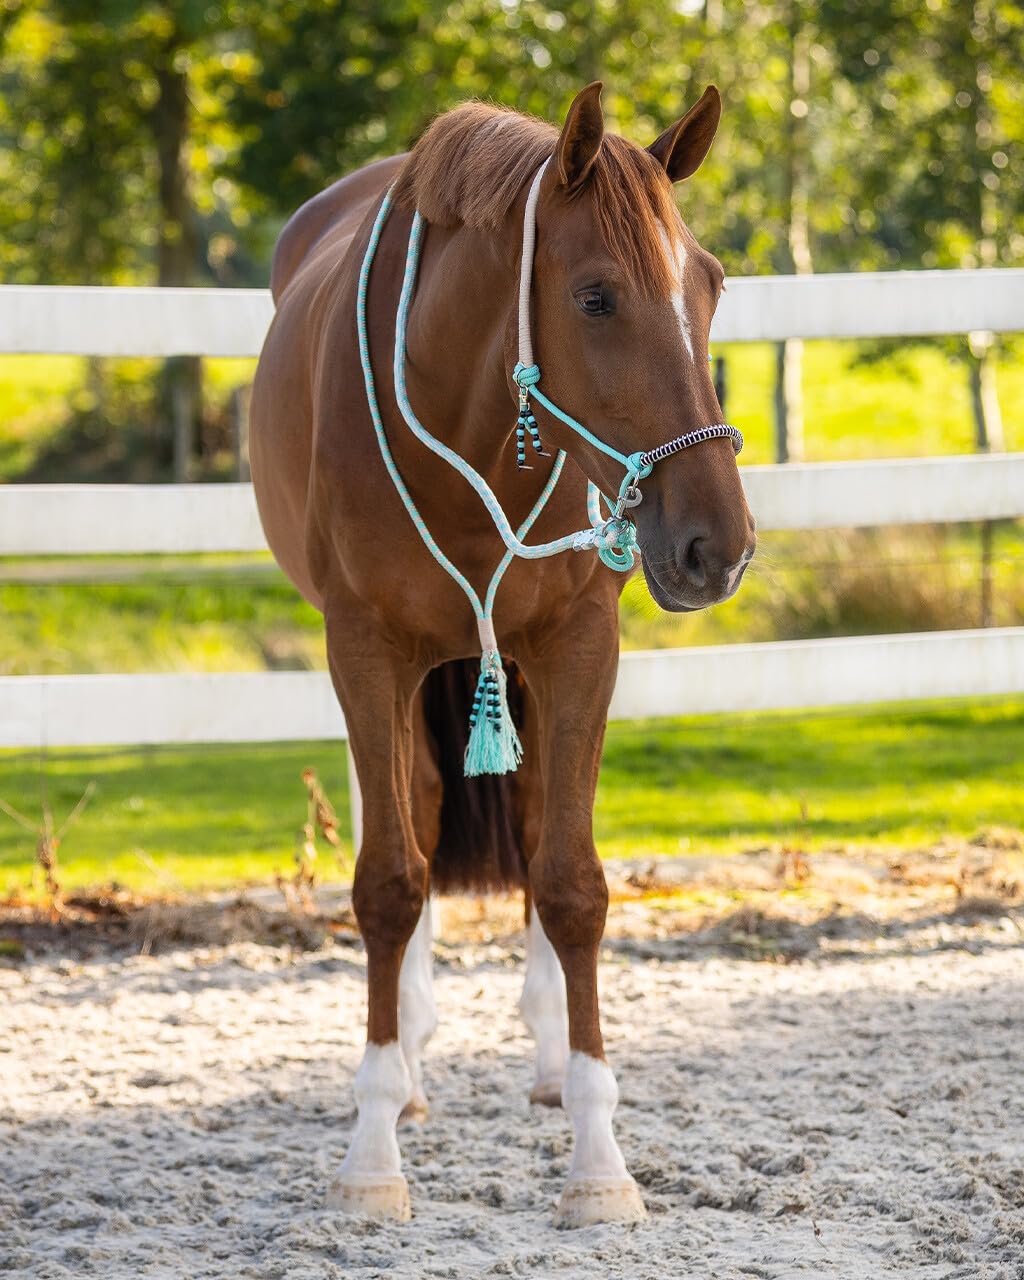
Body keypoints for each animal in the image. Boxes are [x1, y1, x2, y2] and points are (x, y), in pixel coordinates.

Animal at [250, 80, 755, 1227]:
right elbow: (390, 881)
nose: (718, 547)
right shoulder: (364, 650)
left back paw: (549, 1061)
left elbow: (569, 880)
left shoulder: (579, 645)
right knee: (419, 809)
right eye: (597, 298)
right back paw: (408, 1072)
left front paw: (599, 1159)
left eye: (710, 283)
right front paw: (373, 1151)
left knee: (523, 827)